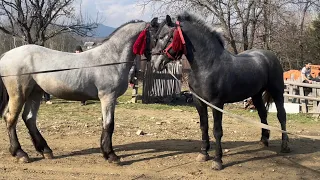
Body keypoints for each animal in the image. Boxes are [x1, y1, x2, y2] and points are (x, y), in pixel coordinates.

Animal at [0, 18, 159, 163]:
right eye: (158, 36)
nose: (159, 62)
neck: (110, 58)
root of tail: (6, 55)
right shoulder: (108, 97)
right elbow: (109, 125)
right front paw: (111, 155)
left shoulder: (107, 100)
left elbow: (104, 123)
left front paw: (105, 152)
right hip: (18, 94)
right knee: (11, 119)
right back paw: (20, 153)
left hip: (35, 93)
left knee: (29, 118)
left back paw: (45, 150)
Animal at [151, 13, 290, 170]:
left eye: (164, 36)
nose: (155, 63)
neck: (207, 65)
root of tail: (269, 55)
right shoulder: (199, 102)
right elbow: (204, 126)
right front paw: (203, 154)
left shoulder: (217, 103)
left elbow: (217, 131)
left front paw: (217, 160)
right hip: (256, 95)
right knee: (262, 114)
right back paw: (263, 140)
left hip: (277, 92)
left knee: (281, 115)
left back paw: (285, 145)